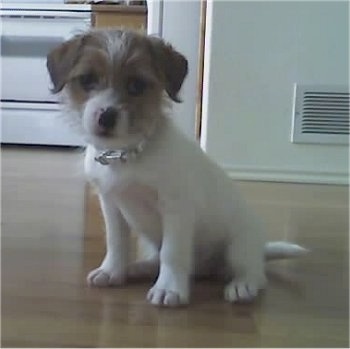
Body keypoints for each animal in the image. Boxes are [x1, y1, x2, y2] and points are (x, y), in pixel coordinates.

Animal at [46, 28, 306, 306]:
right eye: (87, 80)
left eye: (136, 85)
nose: (106, 116)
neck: (126, 155)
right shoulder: (111, 204)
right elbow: (116, 242)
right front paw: (112, 270)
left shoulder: (176, 208)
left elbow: (172, 253)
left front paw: (168, 287)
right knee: (158, 258)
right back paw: (139, 267)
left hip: (240, 246)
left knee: (254, 272)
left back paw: (242, 285)